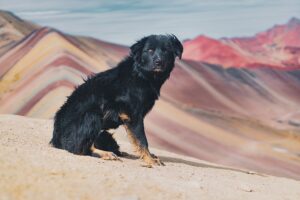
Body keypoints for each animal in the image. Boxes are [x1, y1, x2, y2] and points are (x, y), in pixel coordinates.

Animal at [49, 34, 183, 167]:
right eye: (150, 50)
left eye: (166, 51)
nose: (158, 62)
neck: (141, 74)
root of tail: (55, 138)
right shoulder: (134, 116)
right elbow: (142, 140)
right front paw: (149, 159)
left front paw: (149, 156)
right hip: (92, 115)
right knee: (78, 147)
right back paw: (106, 154)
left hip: (103, 133)